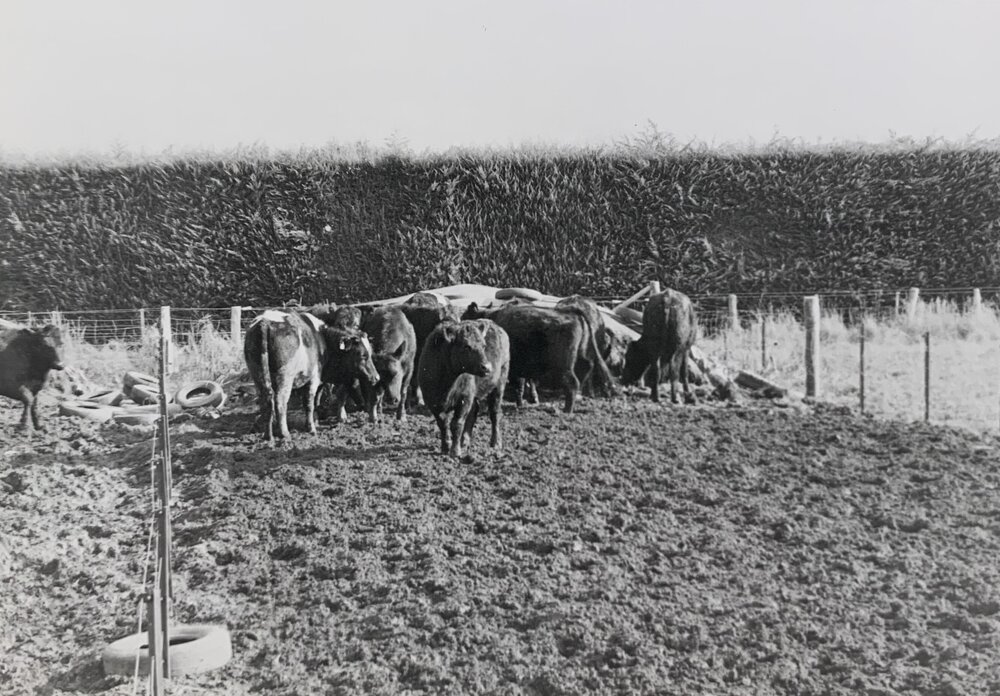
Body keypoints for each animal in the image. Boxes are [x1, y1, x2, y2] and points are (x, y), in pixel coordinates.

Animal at [243, 309, 329, 441]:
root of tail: (265, 321)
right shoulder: (314, 377)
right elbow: (309, 403)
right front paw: (311, 429)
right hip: (285, 376)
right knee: (280, 401)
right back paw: (284, 434)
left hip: (256, 373)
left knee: (265, 401)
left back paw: (268, 435)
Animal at [418, 319, 510, 458]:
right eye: (466, 346)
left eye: (483, 346)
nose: (487, 367)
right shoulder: (432, 402)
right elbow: (443, 423)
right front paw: (445, 447)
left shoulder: (463, 399)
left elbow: (456, 423)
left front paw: (455, 451)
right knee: (474, 412)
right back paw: (464, 441)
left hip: (499, 385)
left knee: (495, 413)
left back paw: (495, 443)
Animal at [463, 303, 615, 413]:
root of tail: (571, 312)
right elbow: (523, 383)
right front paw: (524, 401)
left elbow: (518, 383)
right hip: (580, 355)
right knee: (586, 368)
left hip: (563, 365)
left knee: (572, 382)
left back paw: (567, 409)